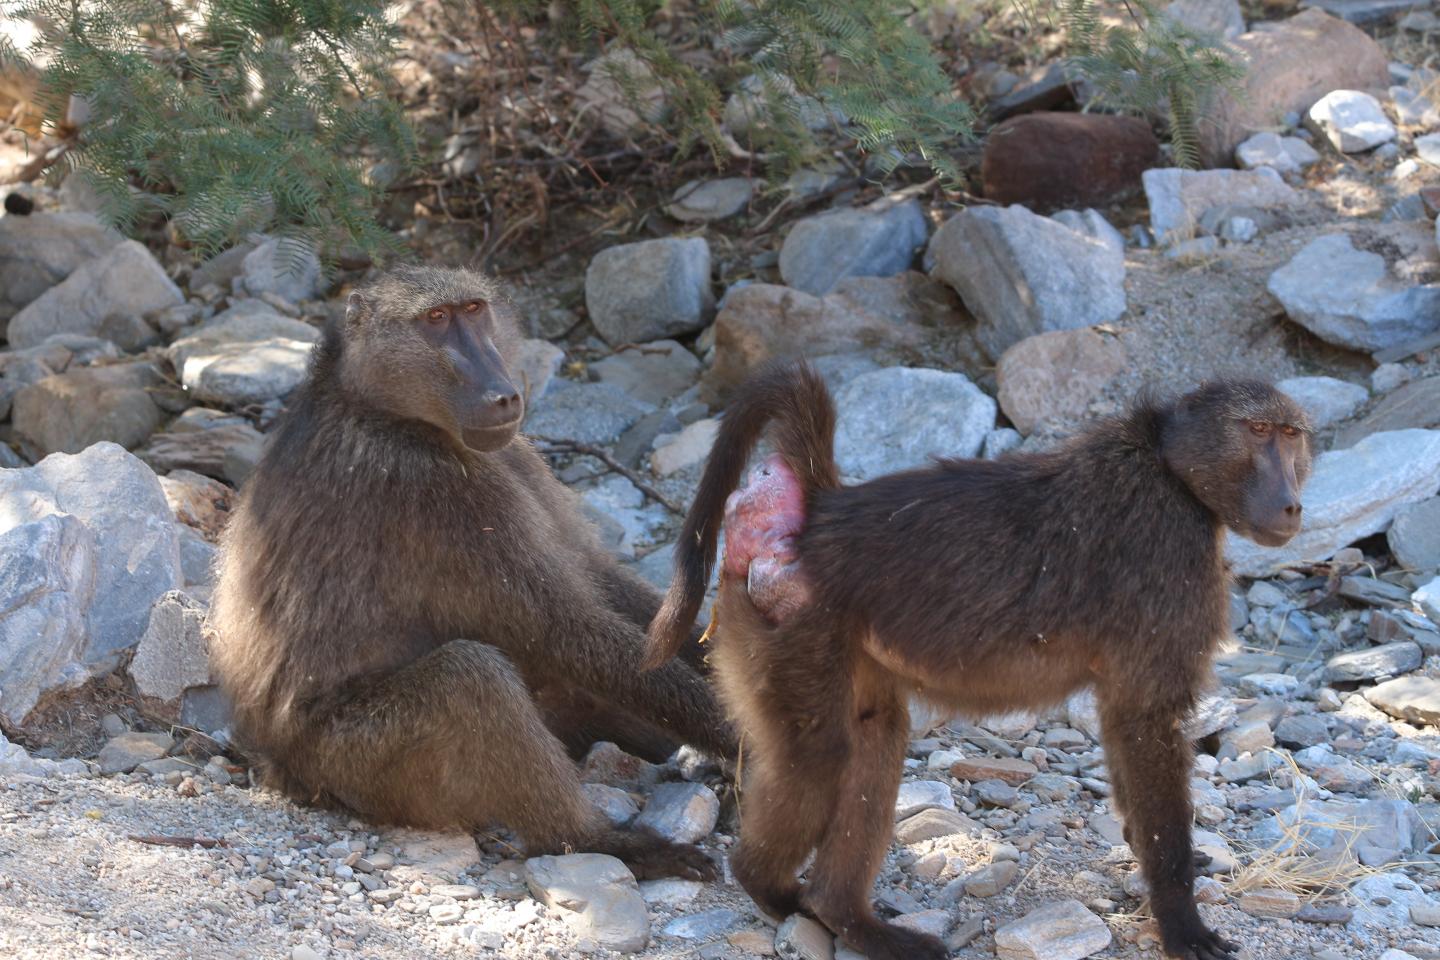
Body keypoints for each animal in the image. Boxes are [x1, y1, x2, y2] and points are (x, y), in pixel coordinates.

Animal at [210, 265, 735, 881]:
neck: (371, 404)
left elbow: (595, 575)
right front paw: (746, 736)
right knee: (471, 676)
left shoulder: (512, 455)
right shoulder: (432, 489)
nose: (502, 393)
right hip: (351, 763)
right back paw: (600, 841)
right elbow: (567, 628)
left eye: (474, 310)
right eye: (436, 319)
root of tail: (271, 762)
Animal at [645, 361, 1312, 960]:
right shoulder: (1170, 558)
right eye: (1257, 432)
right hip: (792, 628)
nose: (1291, 506)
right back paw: (772, 887)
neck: (1170, 469)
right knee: (822, 755)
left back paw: (846, 918)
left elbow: (1126, 731)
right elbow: (1146, 721)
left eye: (1292, 436)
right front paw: (1182, 924)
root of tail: (817, 510)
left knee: (874, 739)